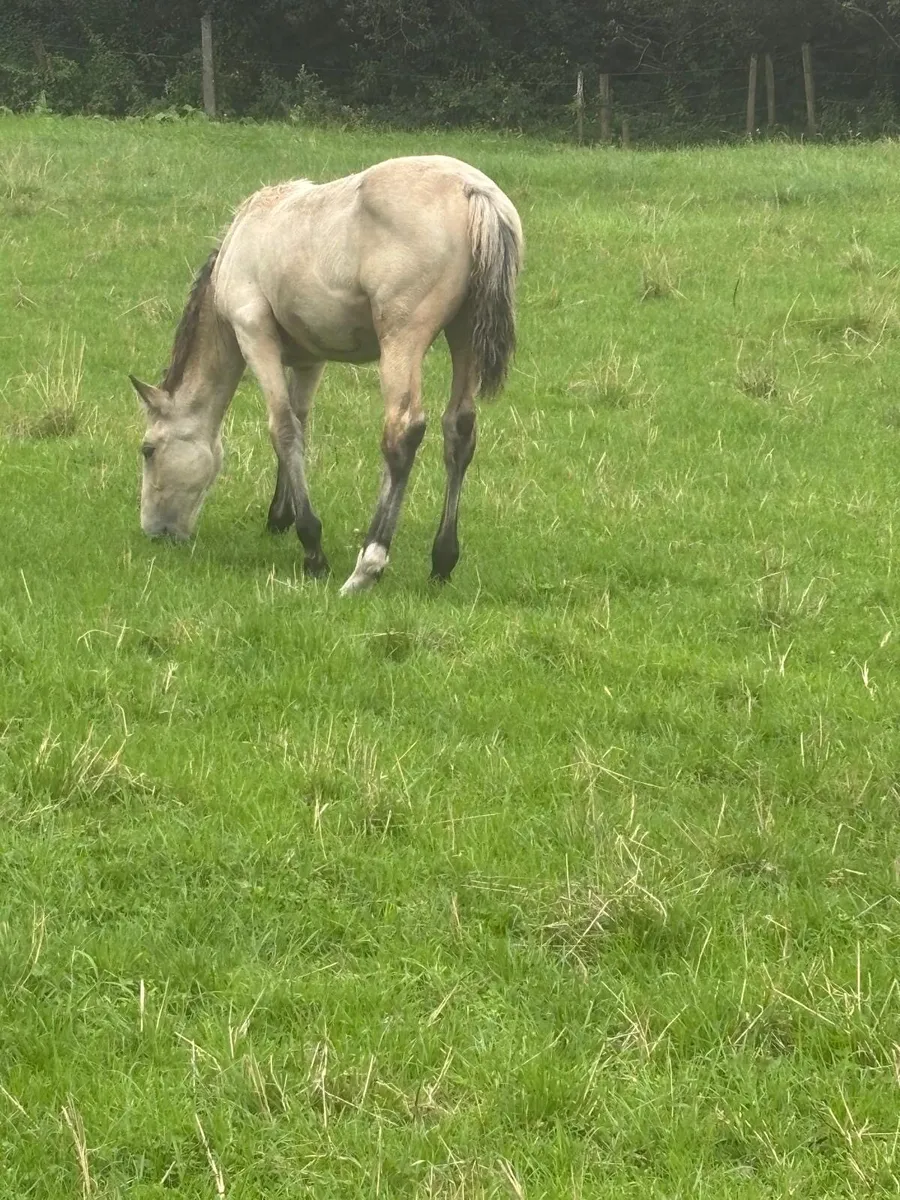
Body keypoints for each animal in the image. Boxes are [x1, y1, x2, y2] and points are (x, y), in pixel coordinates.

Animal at [129, 154, 523, 594]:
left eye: (148, 450)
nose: (156, 531)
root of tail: (472, 190)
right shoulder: (308, 360)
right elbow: (299, 423)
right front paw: (280, 516)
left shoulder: (254, 335)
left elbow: (282, 428)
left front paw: (312, 548)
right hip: (464, 337)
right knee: (459, 431)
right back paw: (442, 560)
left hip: (403, 341)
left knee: (402, 433)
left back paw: (368, 565)